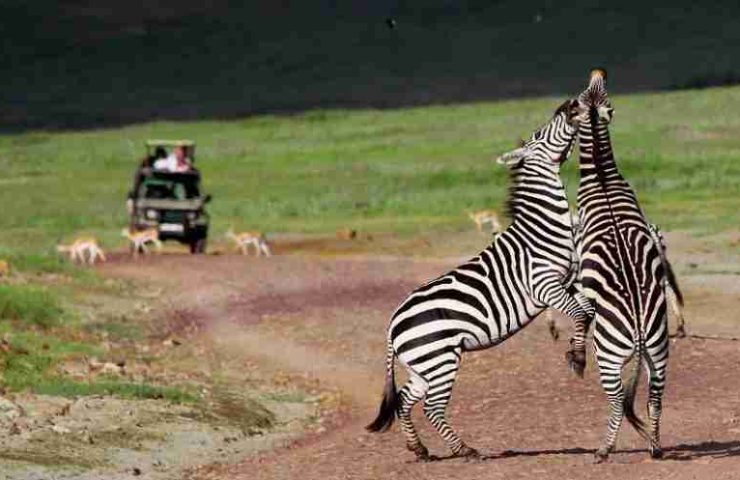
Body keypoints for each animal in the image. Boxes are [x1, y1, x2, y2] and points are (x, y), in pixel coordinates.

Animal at [368, 98, 592, 462]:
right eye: (540, 132)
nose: (570, 104)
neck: (543, 227)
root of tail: (392, 325)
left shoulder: (567, 281)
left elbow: (587, 310)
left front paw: (577, 352)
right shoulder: (544, 285)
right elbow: (581, 314)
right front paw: (578, 358)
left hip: (422, 365)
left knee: (404, 400)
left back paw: (420, 449)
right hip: (440, 359)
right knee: (432, 407)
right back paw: (466, 449)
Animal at [572, 69, 672, 464]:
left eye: (578, 97)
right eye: (592, 92)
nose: (598, 71)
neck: (602, 176)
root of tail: (642, 333)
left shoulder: (580, 269)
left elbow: (581, 315)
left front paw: (575, 356)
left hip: (609, 356)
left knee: (616, 403)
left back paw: (604, 449)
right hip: (659, 352)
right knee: (655, 401)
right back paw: (655, 446)